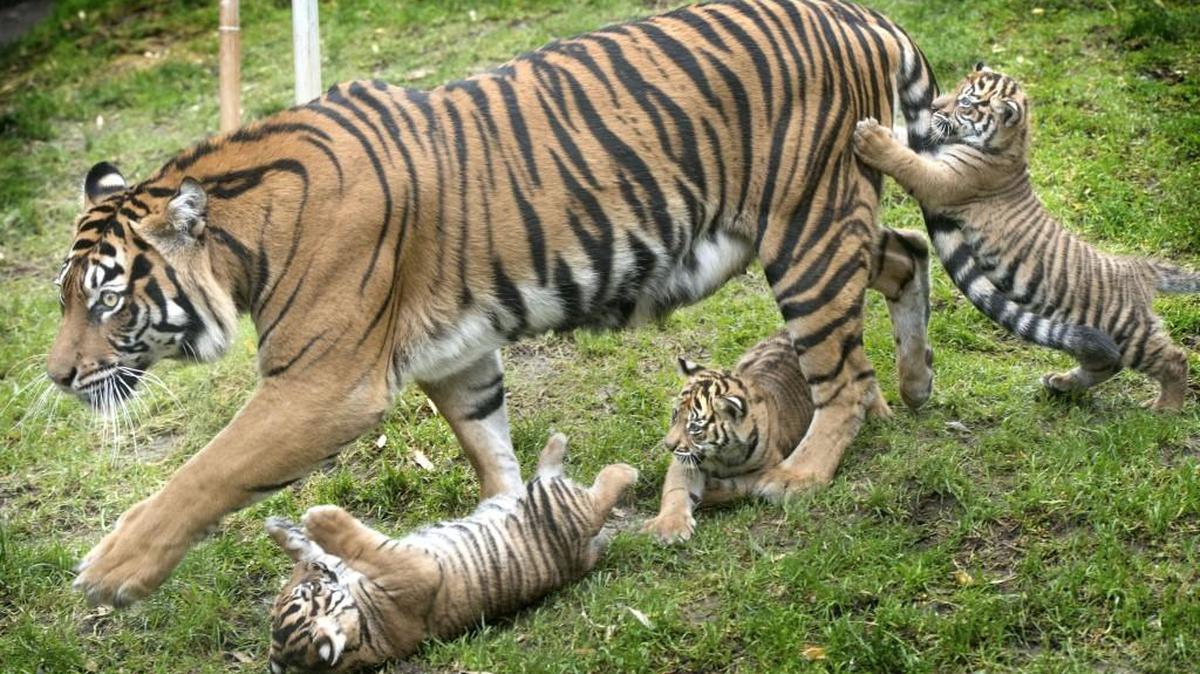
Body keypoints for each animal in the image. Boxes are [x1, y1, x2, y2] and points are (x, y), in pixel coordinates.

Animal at [265, 433, 636, 673]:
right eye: (311, 591)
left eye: (302, 589)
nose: (314, 572)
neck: (364, 624)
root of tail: (585, 551)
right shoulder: (416, 568)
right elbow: (365, 545)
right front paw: (318, 519)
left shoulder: (348, 567)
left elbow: (319, 549)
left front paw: (280, 527)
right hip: (555, 505)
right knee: (596, 495)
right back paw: (624, 468)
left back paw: (556, 441)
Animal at [642, 330, 813, 544]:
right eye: (674, 416)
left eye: (694, 428)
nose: (668, 446)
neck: (721, 453)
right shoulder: (686, 461)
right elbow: (676, 490)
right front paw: (669, 526)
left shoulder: (771, 467)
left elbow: (741, 485)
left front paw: (710, 491)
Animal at [853, 63, 1199, 409]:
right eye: (956, 89)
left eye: (965, 103)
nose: (935, 106)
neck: (1009, 146)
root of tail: (1139, 269)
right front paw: (883, 128)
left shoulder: (943, 179)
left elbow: (908, 162)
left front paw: (872, 138)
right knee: (1106, 363)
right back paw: (1062, 384)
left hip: (1129, 332)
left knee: (1173, 359)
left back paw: (1166, 408)